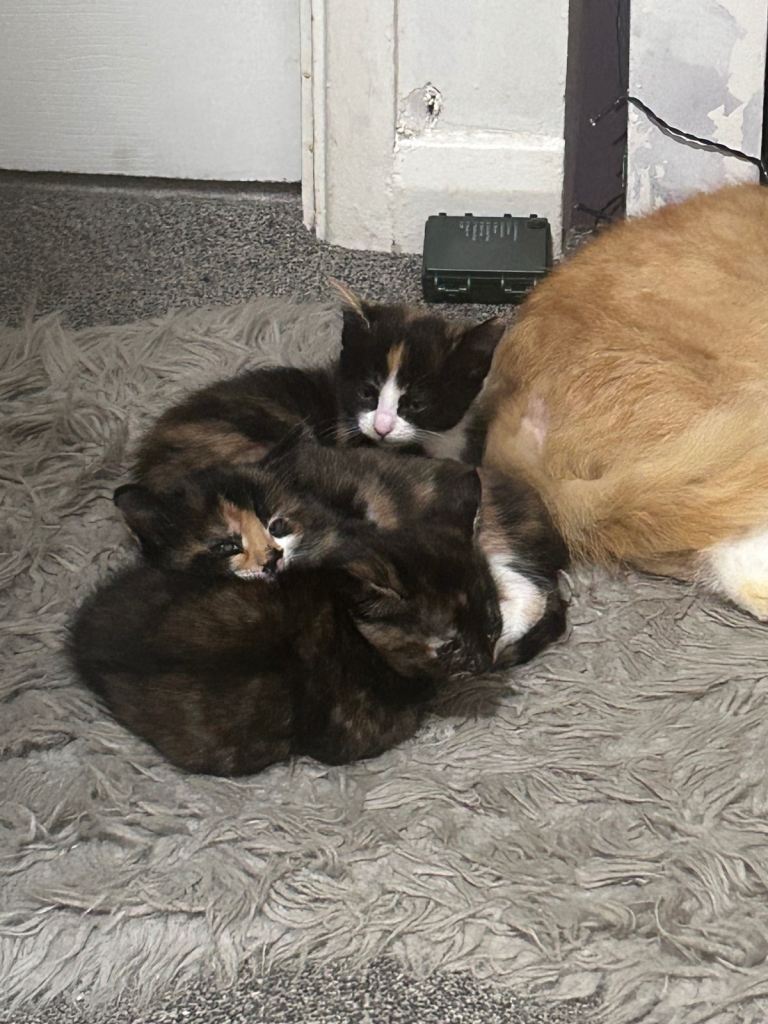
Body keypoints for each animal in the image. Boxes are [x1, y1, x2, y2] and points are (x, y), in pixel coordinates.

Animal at [69, 520, 503, 776]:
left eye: (493, 624)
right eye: (449, 646)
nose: (485, 663)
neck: (350, 626)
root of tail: (85, 643)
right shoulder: (354, 737)